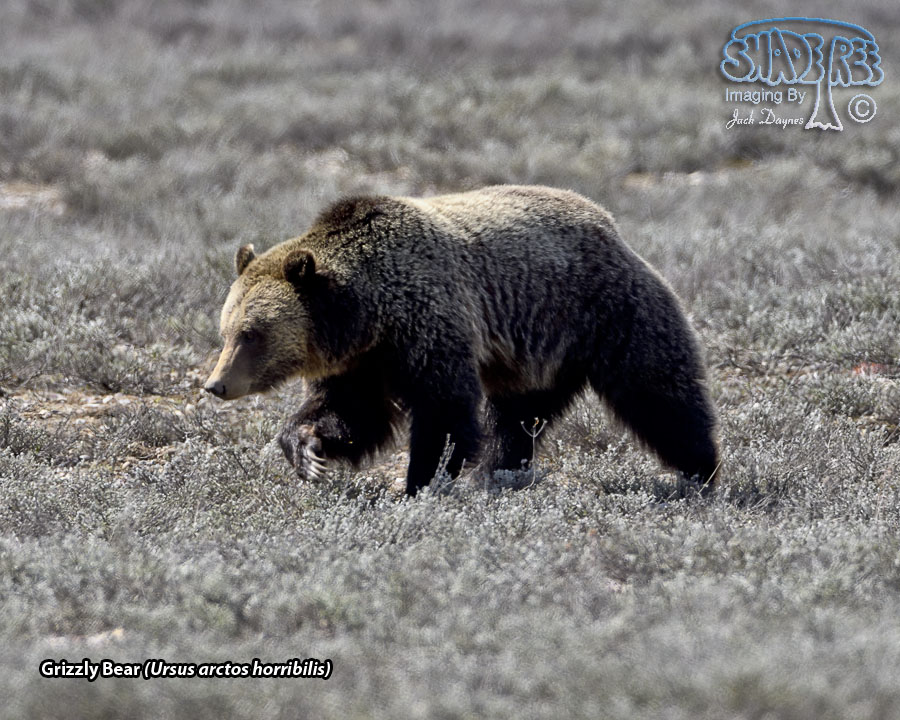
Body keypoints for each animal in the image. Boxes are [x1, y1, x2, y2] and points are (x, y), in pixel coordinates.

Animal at [204, 185, 719, 495]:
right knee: (518, 418)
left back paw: (701, 472)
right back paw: (499, 472)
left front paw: (419, 484)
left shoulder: (428, 324)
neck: (369, 314)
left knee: (659, 393)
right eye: (225, 331)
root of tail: (609, 224)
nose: (216, 384)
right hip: (532, 356)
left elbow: (443, 410)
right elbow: (350, 413)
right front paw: (308, 451)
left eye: (253, 334)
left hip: (603, 312)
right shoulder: (361, 362)